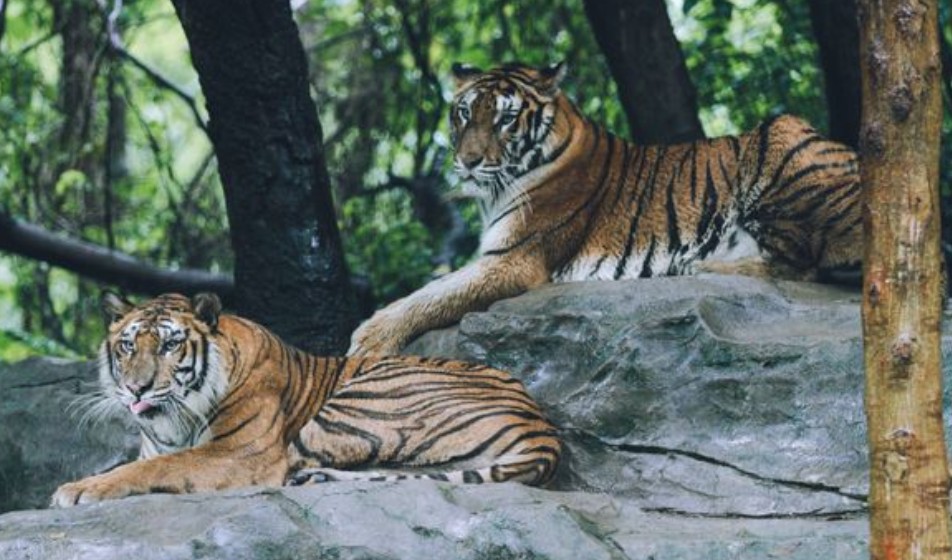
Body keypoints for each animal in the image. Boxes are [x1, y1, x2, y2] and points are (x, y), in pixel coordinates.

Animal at [50, 292, 561, 507]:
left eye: (170, 345)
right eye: (127, 346)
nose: (136, 388)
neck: (171, 421)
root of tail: (544, 428)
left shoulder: (241, 454)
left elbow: (154, 468)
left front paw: (76, 490)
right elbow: (139, 463)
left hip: (350, 406)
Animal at [348, 61, 862, 355]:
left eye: (506, 118)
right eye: (463, 113)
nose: (468, 161)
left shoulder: (513, 259)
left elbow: (431, 294)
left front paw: (367, 339)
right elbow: (431, 289)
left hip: (782, 139)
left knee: (803, 265)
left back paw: (701, 264)